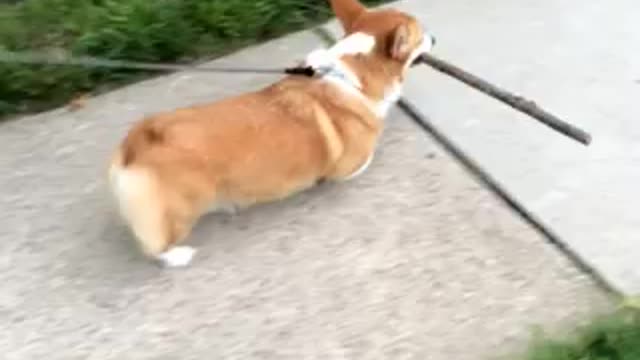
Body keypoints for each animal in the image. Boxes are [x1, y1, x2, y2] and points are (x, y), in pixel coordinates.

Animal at [109, 0, 436, 266]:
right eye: (420, 36)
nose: (434, 37)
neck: (349, 75)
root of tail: (139, 140)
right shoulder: (347, 165)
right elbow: (361, 161)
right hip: (181, 209)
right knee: (157, 244)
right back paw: (178, 254)